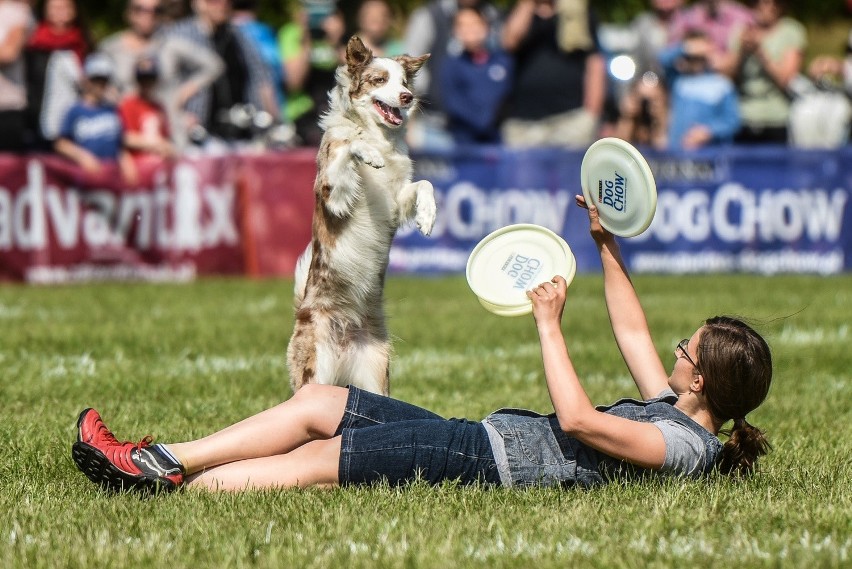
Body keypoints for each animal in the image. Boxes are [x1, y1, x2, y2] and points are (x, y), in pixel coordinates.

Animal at [286, 36, 436, 394]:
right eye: (379, 80)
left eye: (404, 82)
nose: (407, 97)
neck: (379, 135)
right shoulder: (335, 196)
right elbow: (348, 146)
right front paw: (366, 152)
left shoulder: (395, 202)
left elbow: (424, 185)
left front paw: (428, 216)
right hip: (316, 368)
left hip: (375, 374)